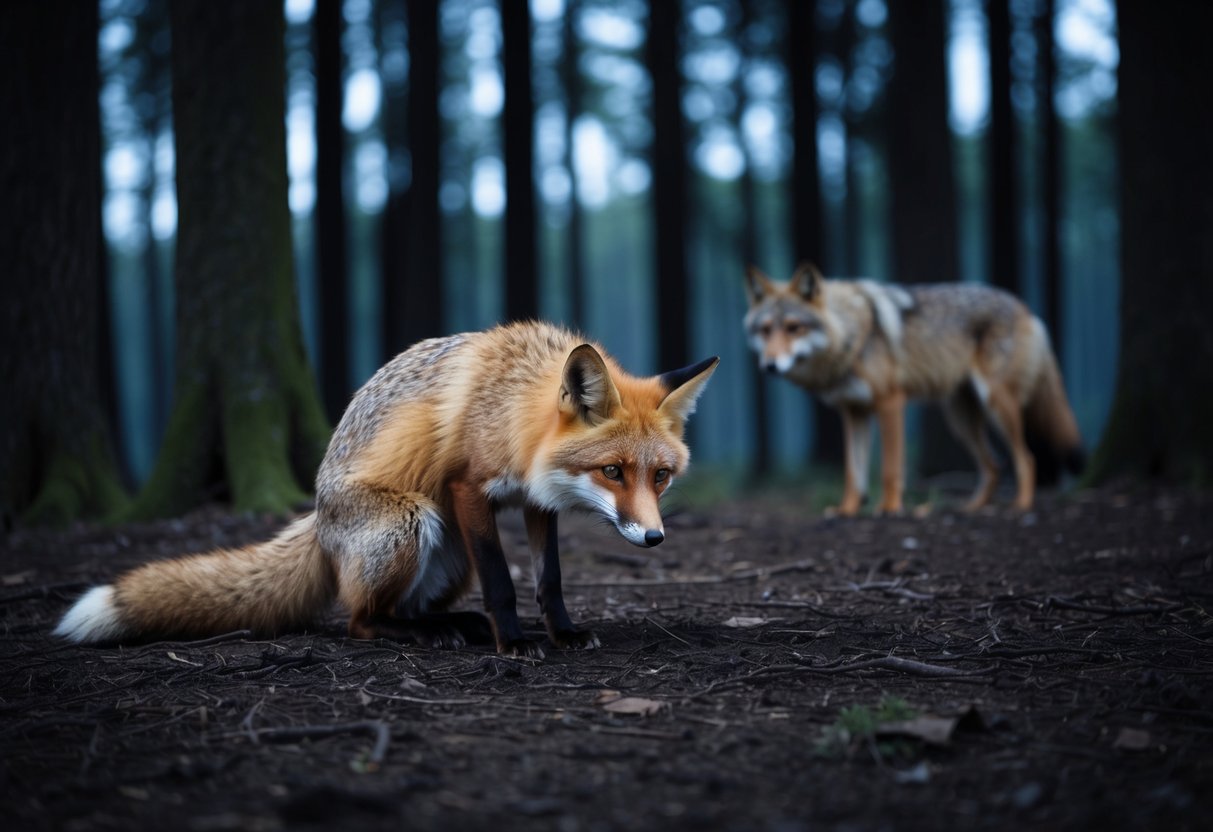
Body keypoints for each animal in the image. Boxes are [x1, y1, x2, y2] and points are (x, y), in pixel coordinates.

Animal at [55, 321, 718, 658]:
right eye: (613, 472)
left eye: (660, 476)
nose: (654, 538)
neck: (512, 407)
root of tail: (319, 520)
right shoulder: (467, 488)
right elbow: (503, 584)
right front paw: (512, 643)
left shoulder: (536, 499)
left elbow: (548, 579)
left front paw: (563, 632)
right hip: (416, 520)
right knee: (360, 620)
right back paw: (435, 634)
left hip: (449, 556)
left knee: (403, 607)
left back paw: (451, 625)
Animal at [743, 263, 1082, 515]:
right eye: (765, 330)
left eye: (793, 328)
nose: (769, 365)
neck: (851, 334)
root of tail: (1025, 307)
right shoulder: (853, 412)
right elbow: (853, 473)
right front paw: (846, 511)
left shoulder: (890, 402)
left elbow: (891, 467)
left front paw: (889, 509)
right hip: (960, 419)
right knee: (995, 466)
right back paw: (971, 508)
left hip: (996, 405)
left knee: (1026, 459)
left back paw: (1020, 506)